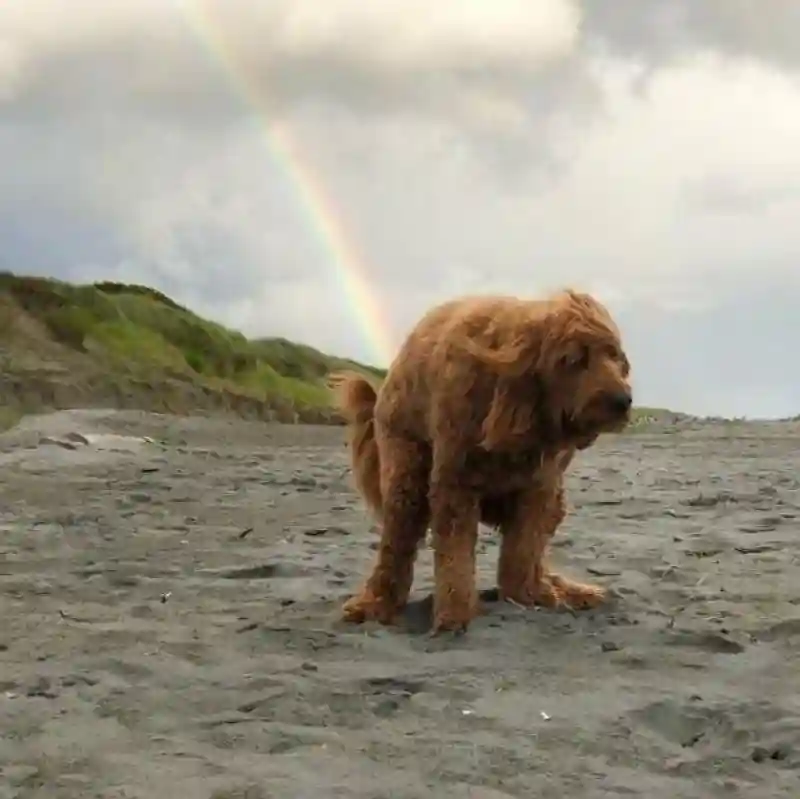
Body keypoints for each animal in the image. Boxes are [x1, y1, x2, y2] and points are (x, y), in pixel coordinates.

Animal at [332, 290, 632, 636]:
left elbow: (525, 545)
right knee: (399, 533)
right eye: (574, 359)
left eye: (614, 355)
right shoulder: (455, 479)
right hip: (405, 460)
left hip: (552, 497)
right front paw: (453, 614)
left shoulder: (539, 485)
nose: (623, 401)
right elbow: (455, 550)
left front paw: (527, 594)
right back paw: (375, 604)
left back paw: (561, 588)